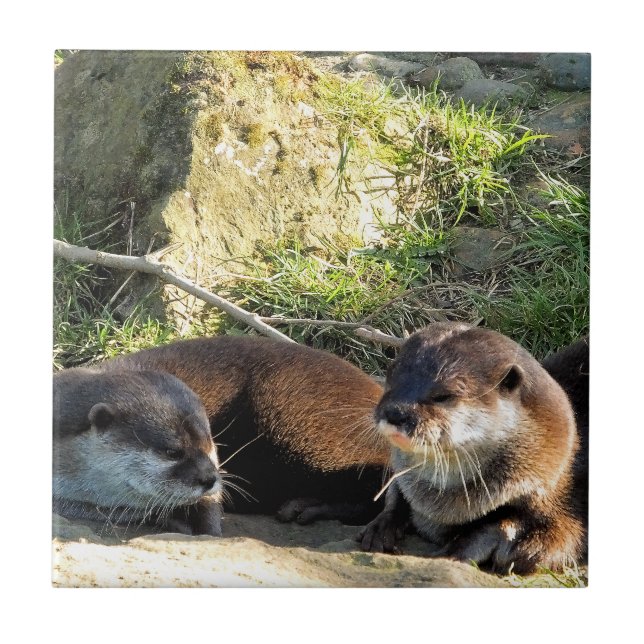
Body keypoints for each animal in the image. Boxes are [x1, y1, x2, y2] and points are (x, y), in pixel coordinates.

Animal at [358, 323, 587, 574]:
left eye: (443, 395)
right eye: (390, 376)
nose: (395, 412)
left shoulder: (562, 499)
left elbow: (556, 539)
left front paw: (455, 552)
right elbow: (395, 495)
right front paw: (381, 527)